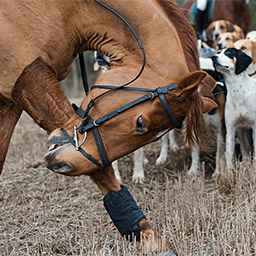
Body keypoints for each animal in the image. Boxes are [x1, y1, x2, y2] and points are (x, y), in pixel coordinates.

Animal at [0, 0, 216, 252]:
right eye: (140, 123)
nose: (64, 165)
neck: (65, 11)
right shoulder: (27, 74)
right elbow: (99, 167)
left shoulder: (10, 100)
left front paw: (149, 238)